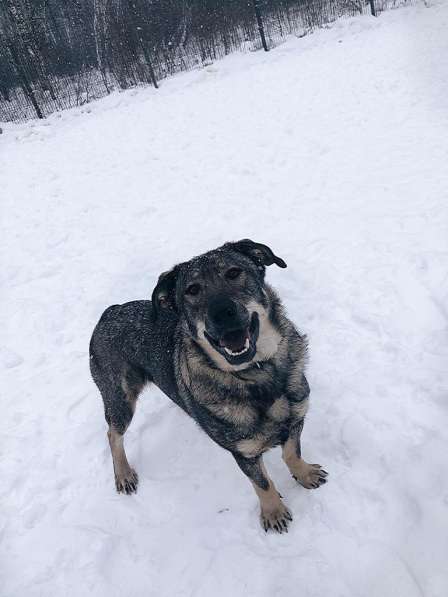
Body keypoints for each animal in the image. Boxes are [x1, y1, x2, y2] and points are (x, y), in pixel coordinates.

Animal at [89, 237, 328, 532]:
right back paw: (124, 475)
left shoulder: (297, 419)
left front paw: (304, 474)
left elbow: (292, 453)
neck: (257, 373)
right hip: (119, 396)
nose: (222, 313)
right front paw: (273, 512)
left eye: (234, 273)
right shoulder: (243, 452)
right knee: (113, 434)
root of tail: (109, 312)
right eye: (192, 290)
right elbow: (262, 483)